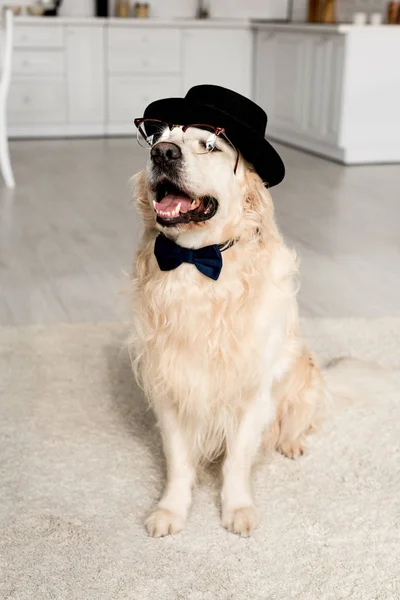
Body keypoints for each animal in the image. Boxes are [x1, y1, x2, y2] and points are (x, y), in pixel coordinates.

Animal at [130, 85, 376, 540]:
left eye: (209, 146)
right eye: (158, 137)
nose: (163, 154)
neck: (198, 264)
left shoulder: (252, 393)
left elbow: (237, 460)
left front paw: (237, 508)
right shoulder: (170, 384)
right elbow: (178, 460)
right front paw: (171, 509)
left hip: (302, 376)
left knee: (301, 418)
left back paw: (291, 442)